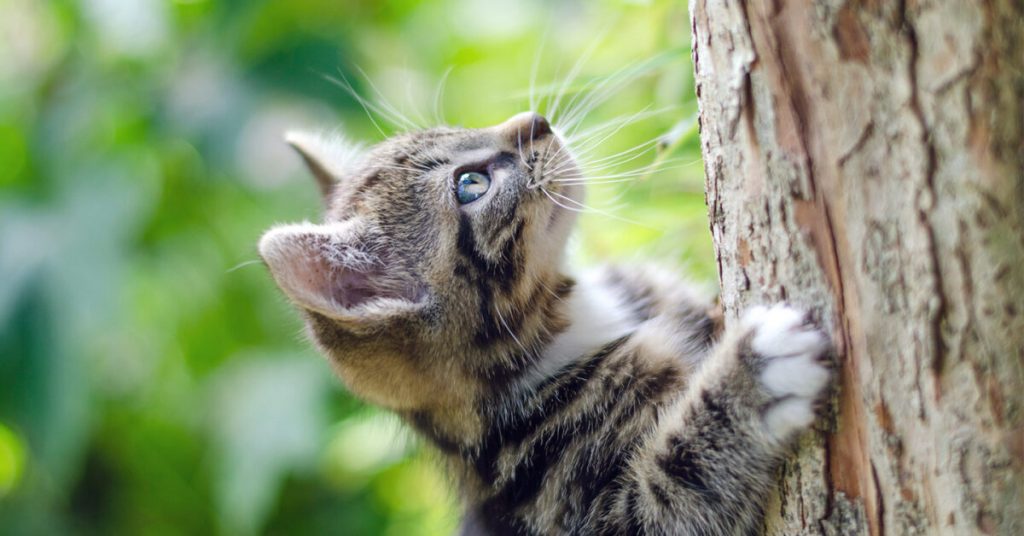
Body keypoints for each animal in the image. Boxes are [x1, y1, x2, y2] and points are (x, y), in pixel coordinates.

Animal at [258, 111, 831, 532]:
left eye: (459, 127)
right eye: (471, 184)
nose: (534, 120)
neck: (575, 316)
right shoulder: (566, 499)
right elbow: (672, 490)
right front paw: (753, 376)